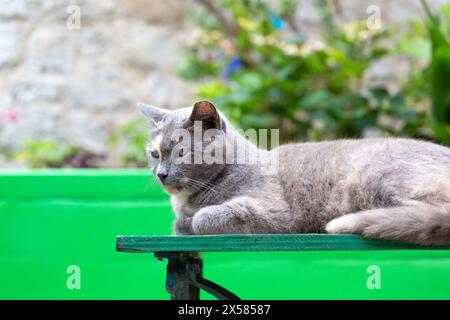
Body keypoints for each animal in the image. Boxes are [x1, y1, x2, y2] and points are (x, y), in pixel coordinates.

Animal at [139, 100, 450, 245]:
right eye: (154, 154)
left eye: (181, 152)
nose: (161, 174)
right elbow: (180, 224)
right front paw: (183, 222)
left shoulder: (274, 212)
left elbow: (201, 218)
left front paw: (192, 221)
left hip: (371, 177)